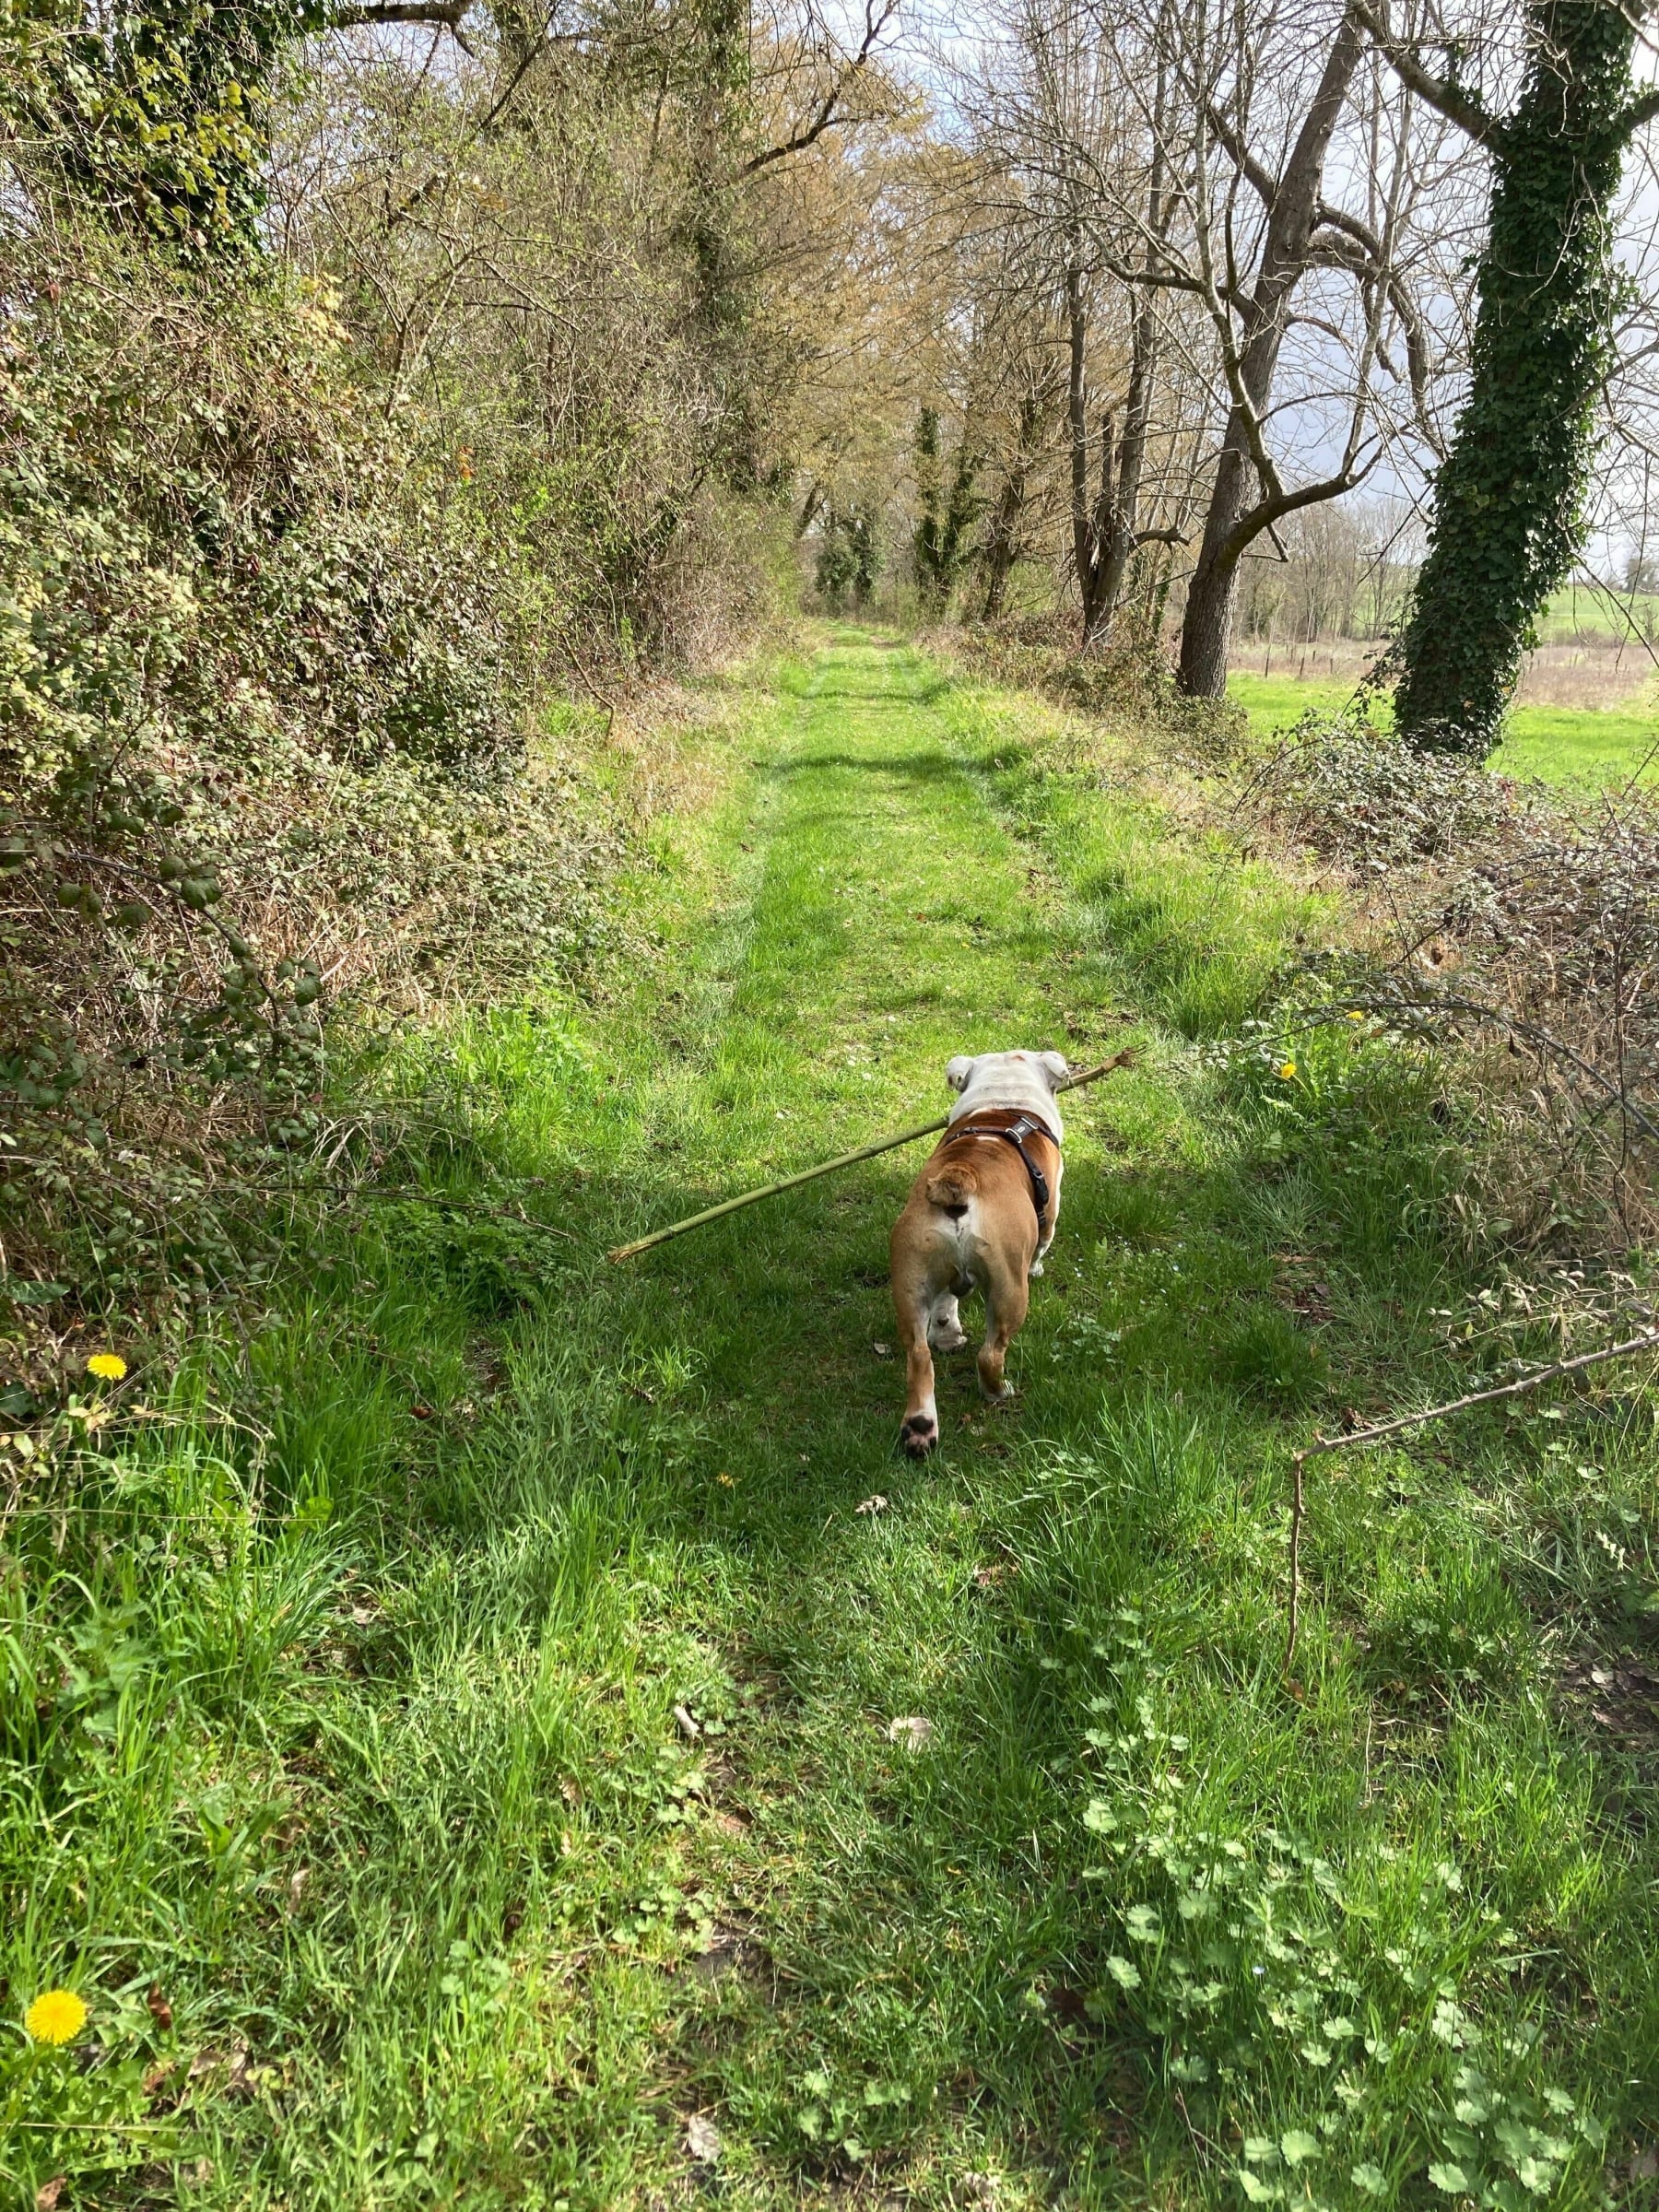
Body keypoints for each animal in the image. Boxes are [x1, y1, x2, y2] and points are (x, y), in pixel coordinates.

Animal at [888, 1048, 1070, 1460]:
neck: (1003, 1101)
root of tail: (961, 1178)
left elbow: (945, 1303)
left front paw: (948, 1332)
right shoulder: (1050, 1211)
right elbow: (1044, 1241)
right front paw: (1038, 1267)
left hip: (911, 1274)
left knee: (918, 1356)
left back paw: (920, 1429)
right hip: (1008, 1288)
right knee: (991, 1353)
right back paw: (997, 1392)